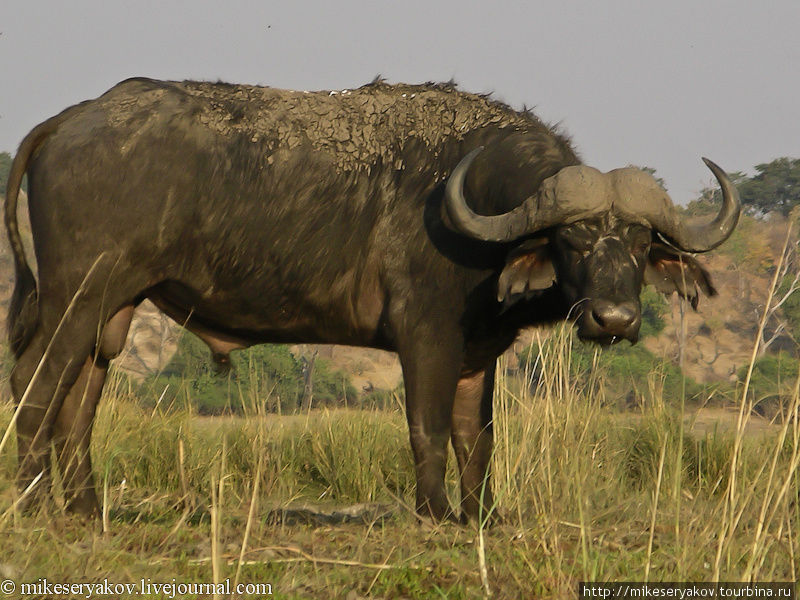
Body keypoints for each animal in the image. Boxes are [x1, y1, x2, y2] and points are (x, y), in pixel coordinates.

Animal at [4, 78, 736, 520]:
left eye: (639, 243)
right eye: (573, 240)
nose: (615, 320)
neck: (478, 211)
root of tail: (70, 119)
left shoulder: (478, 354)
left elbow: (477, 437)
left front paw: (482, 516)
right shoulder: (426, 337)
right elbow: (428, 426)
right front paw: (435, 513)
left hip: (114, 310)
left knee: (78, 398)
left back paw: (86, 508)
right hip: (78, 295)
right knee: (35, 382)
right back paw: (37, 502)